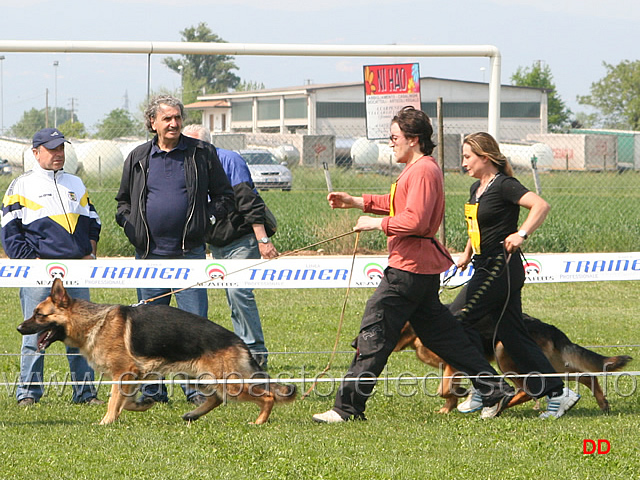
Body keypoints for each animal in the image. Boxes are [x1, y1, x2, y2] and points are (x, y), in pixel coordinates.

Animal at [15, 280, 296, 426]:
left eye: (39, 315)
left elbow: (114, 400)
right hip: (197, 376)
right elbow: (125, 401)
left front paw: (106, 421)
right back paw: (193, 414)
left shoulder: (124, 373)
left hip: (229, 382)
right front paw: (141, 405)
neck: (93, 321)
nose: (18, 328)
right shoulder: (132, 377)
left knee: (267, 395)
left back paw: (259, 421)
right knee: (216, 398)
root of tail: (238, 341)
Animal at [396, 304, 632, 412]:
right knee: (585, 376)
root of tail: (547, 326)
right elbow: (446, 390)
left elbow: (444, 389)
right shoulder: (451, 367)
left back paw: (505, 404)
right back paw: (602, 403)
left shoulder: (453, 365)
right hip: (550, 364)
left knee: (527, 389)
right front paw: (450, 405)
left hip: (506, 357)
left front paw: (460, 395)